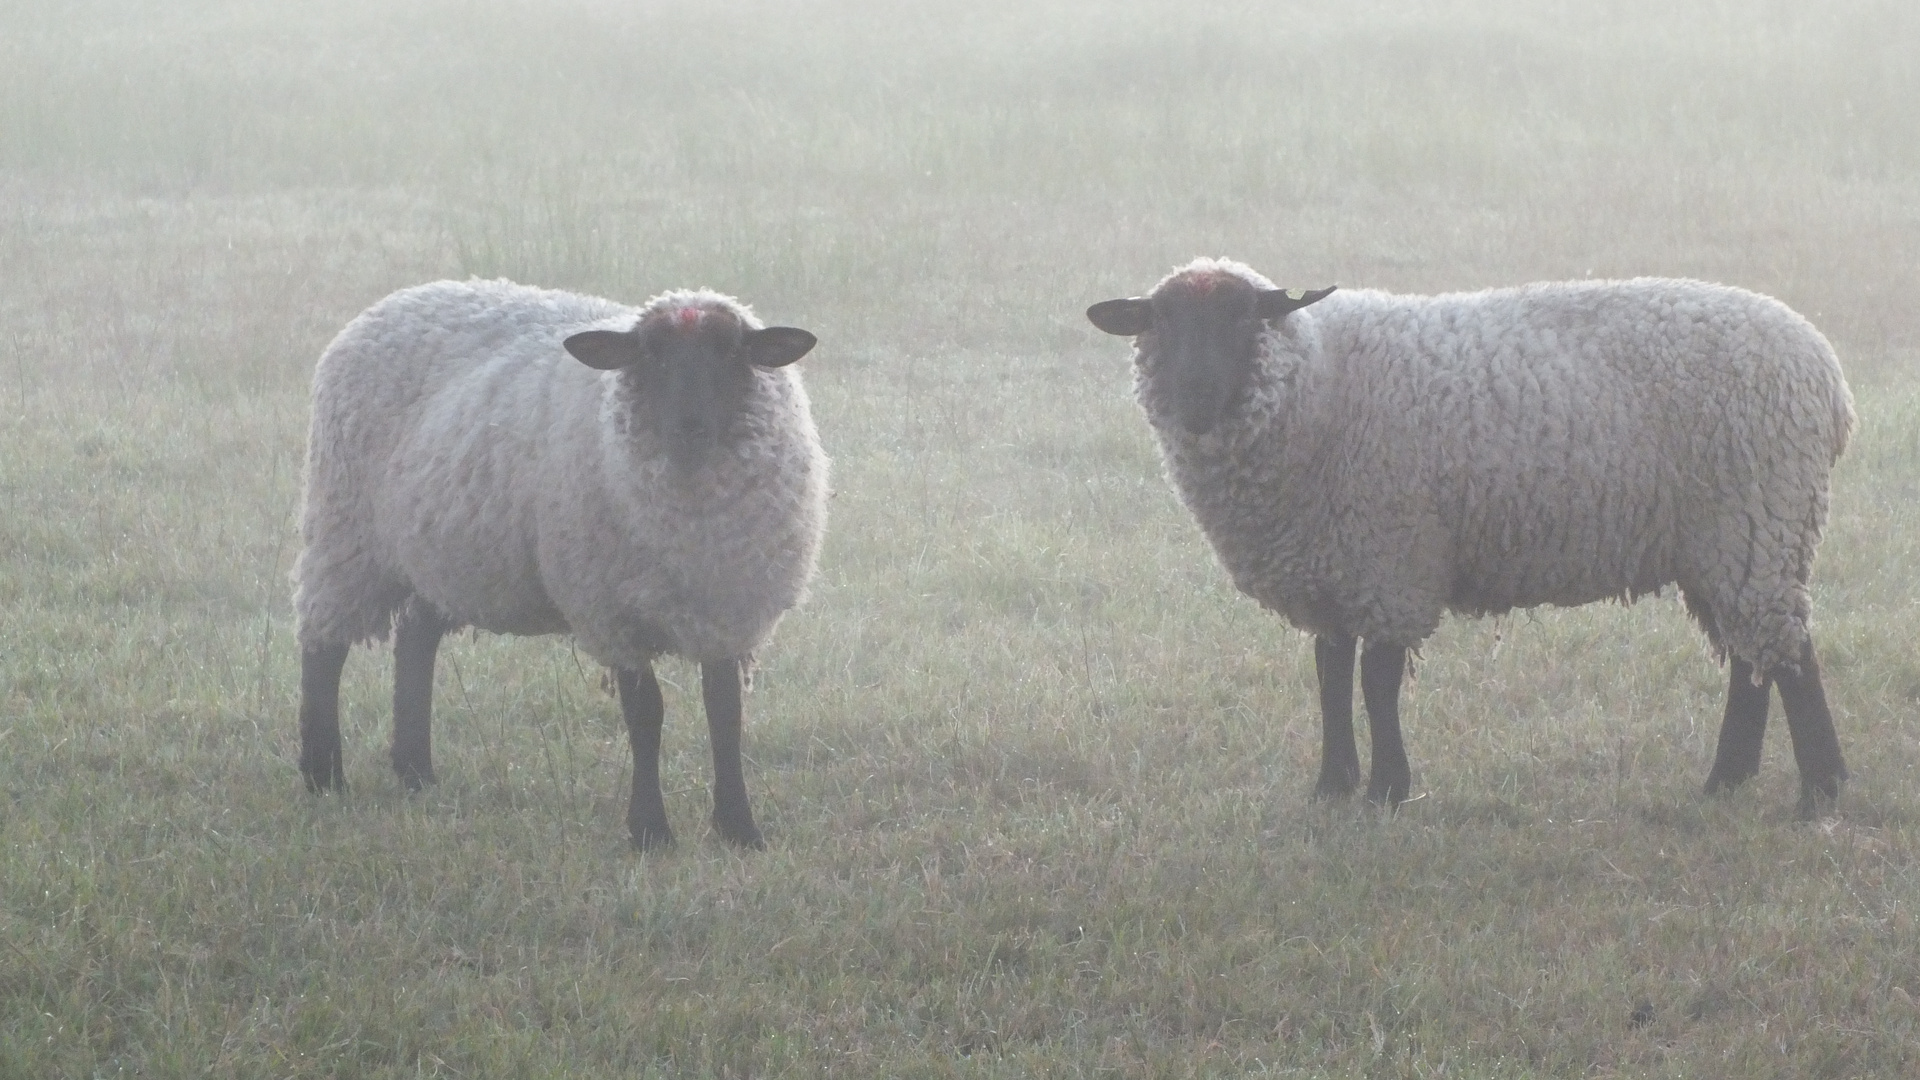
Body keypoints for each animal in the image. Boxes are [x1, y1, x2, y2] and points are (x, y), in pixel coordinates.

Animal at [291, 278, 825, 849]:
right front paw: (650, 832)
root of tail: (397, 299)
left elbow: (724, 713)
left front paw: (739, 828)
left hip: (446, 550)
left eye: (730, 353)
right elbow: (646, 716)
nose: (690, 428)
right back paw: (324, 776)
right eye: (650, 355)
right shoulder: (613, 613)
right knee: (324, 648)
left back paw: (416, 773)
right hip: (346, 533)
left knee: (415, 642)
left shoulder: (729, 611)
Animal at [1098, 259, 1858, 814]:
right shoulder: (1332, 568)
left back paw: (1821, 791)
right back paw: (1726, 781)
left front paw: (1387, 791)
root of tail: (1829, 375)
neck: (1318, 379)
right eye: (1161, 321)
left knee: (1789, 654)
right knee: (1752, 659)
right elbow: (1330, 674)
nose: (1195, 398)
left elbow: (1377, 681)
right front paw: (1332, 787)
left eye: (1241, 318)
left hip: (1759, 517)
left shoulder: (1390, 560)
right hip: (1721, 542)